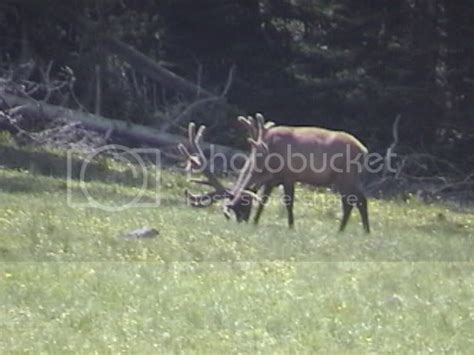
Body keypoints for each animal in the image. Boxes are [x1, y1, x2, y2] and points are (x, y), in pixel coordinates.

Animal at [178, 112, 370, 232]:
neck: (264, 162)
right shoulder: (272, 179)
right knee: (361, 199)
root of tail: (364, 149)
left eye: (243, 205)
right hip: (352, 177)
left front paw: (291, 227)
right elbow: (263, 200)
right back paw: (365, 231)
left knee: (349, 202)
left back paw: (341, 230)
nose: (241, 222)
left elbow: (288, 202)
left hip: (344, 175)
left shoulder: (289, 175)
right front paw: (255, 223)